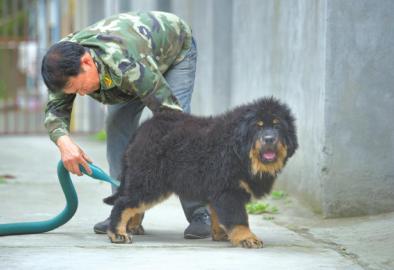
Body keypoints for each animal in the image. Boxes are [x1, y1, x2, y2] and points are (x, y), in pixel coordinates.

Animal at [103, 97, 298, 249]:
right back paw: (118, 234)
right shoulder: (229, 190)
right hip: (149, 180)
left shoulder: (219, 190)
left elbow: (218, 216)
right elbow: (238, 218)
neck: (237, 149)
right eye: (258, 127)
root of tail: (142, 128)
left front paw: (222, 235)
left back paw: (132, 226)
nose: (269, 139)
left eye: (277, 126)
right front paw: (247, 238)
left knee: (132, 203)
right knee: (123, 203)